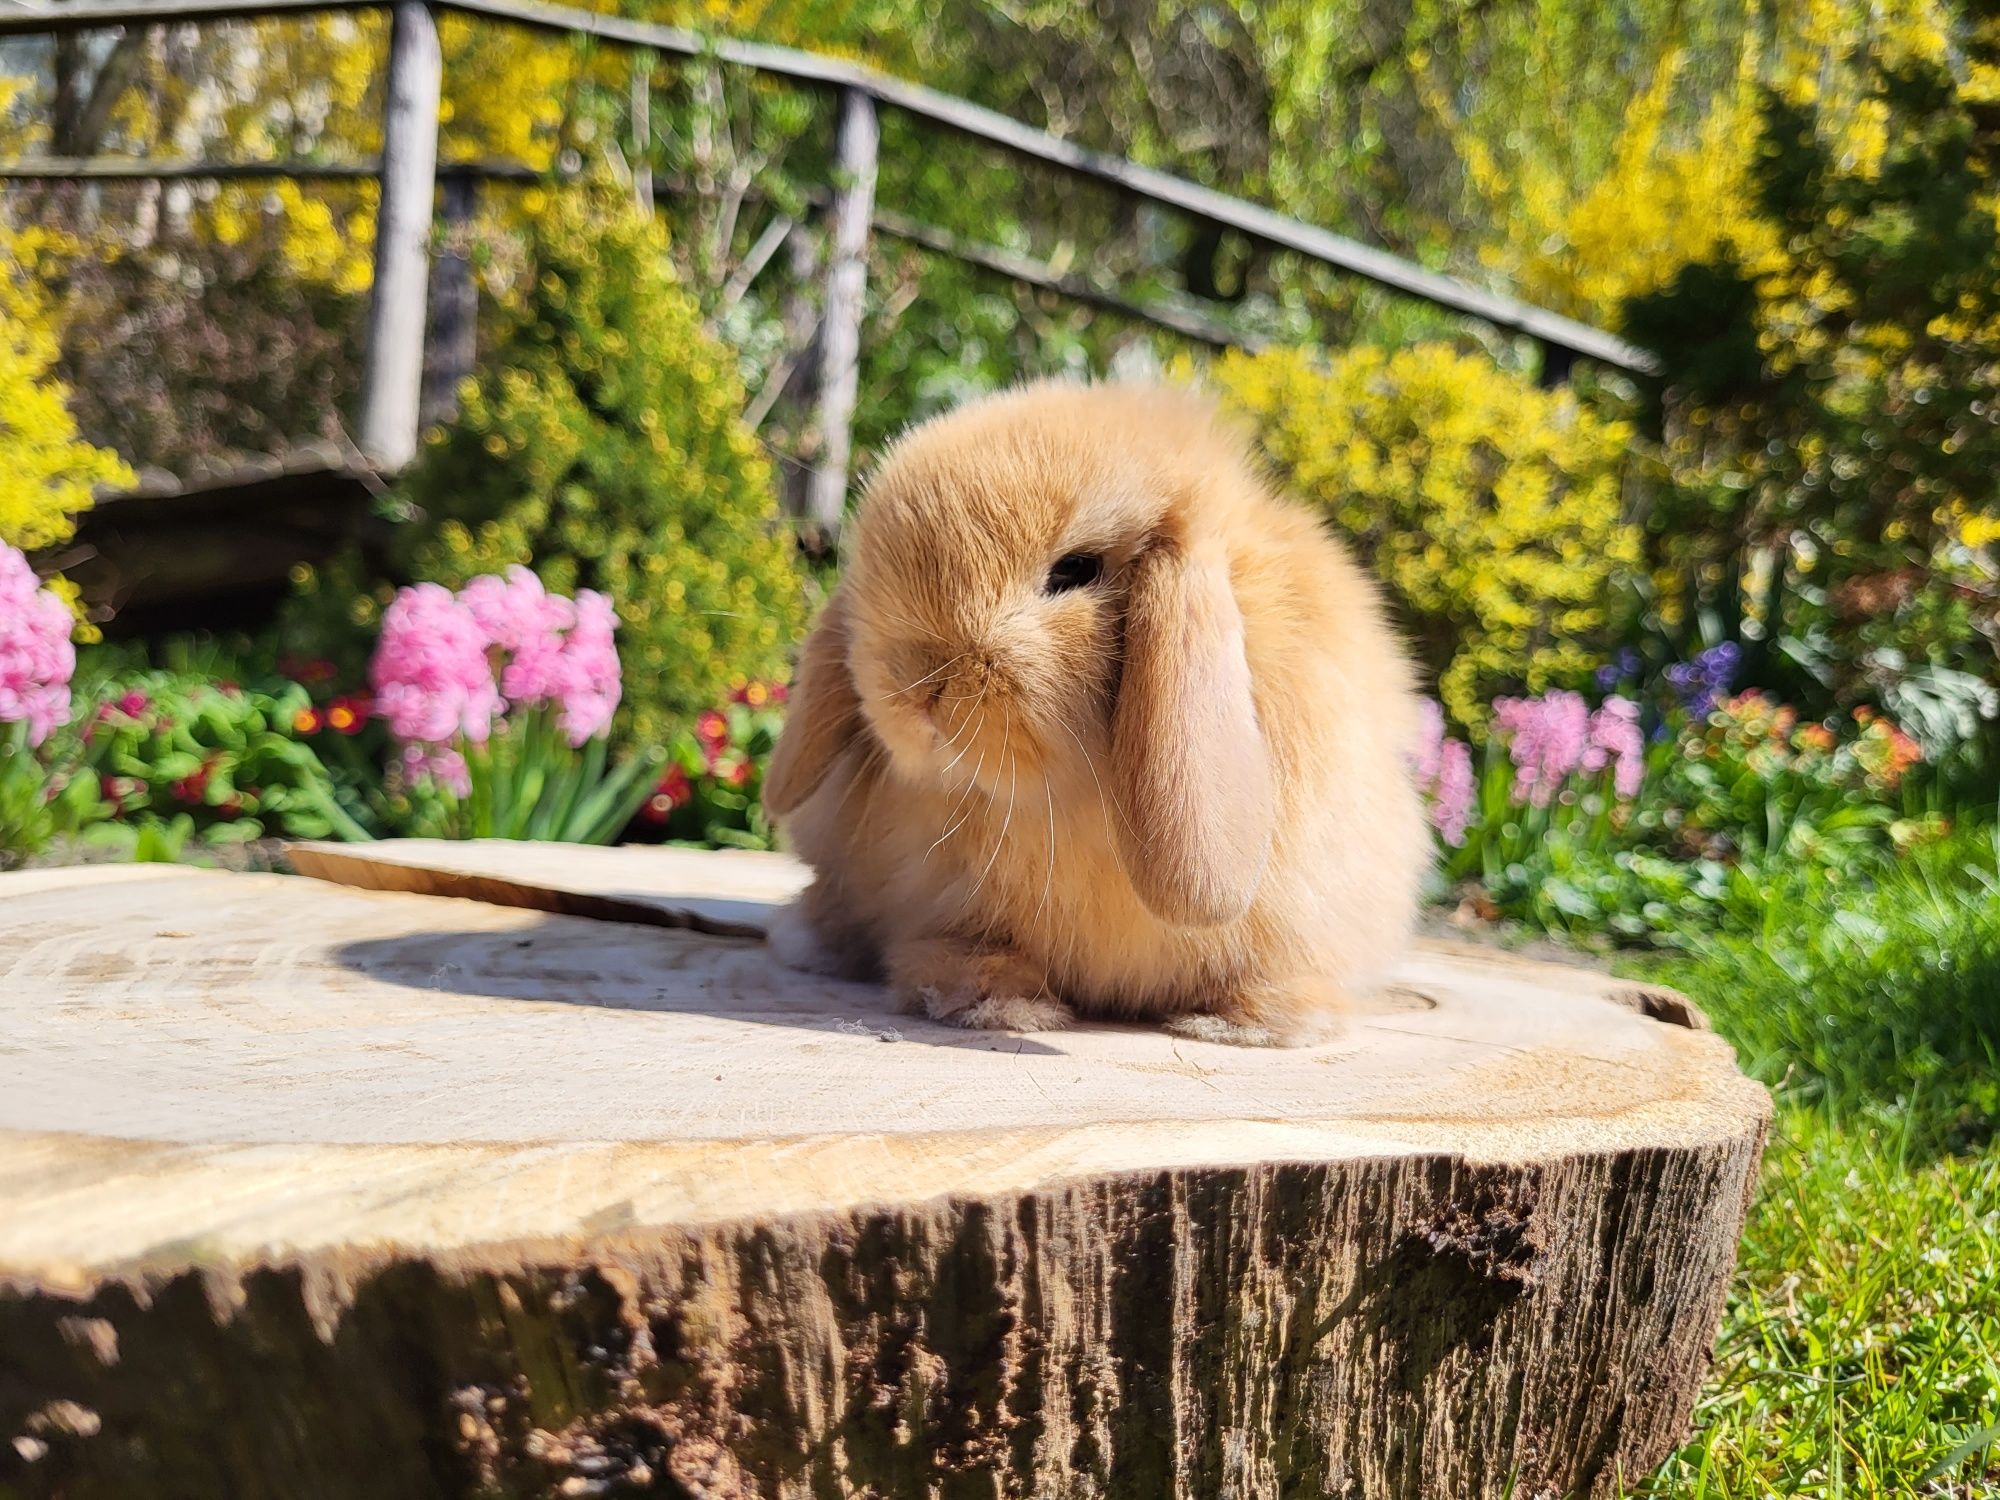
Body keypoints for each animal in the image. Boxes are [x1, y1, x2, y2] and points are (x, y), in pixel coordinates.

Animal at [756, 376, 1432, 1048]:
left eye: (1075, 570)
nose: (915, 689)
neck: (1062, 796)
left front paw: (1255, 1021)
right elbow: (966, 945)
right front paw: (986, 997)